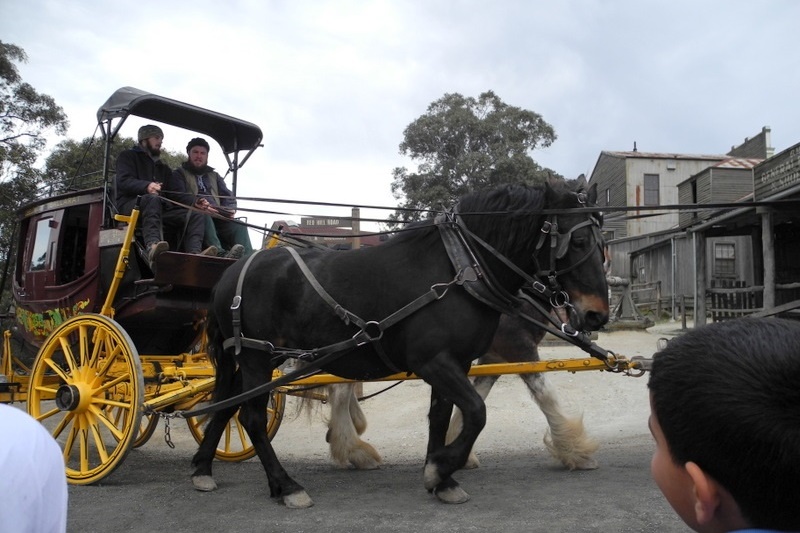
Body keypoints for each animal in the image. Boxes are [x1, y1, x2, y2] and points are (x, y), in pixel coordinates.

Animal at [191, 176, 608, 508]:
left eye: (602, 242)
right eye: (579, 240)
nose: (597, 315)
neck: (459, 270)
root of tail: (232, 272)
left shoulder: (459, 361)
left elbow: (442, 416)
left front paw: (444, 477)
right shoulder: (437, 360)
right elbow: (478, 411)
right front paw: (441, 467)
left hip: (253, 358)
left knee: (226, 405)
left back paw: (202, 469)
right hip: (259, 359)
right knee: (252, 417)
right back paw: (286, 485)